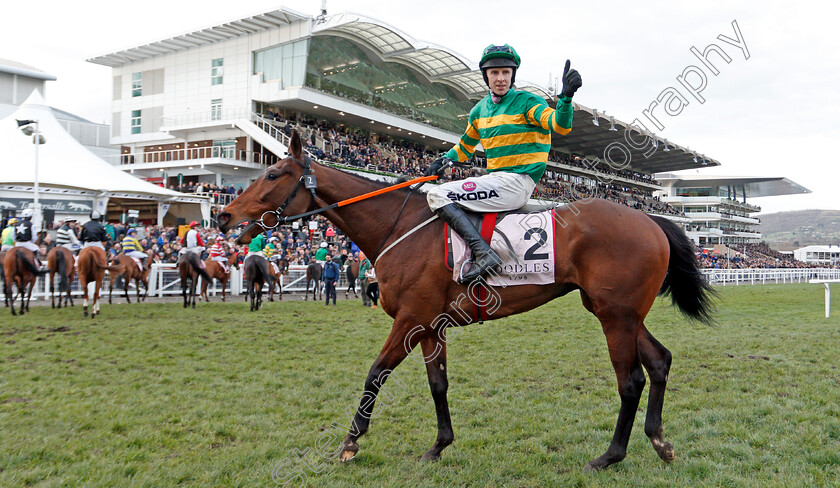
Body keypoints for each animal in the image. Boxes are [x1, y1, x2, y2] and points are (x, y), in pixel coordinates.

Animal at [218, 131, 716, 472]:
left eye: (272, 174)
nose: (223, 215)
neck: (399, 227)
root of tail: (650, 219)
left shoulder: (410, 320)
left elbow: (375, 374)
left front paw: (350, 442)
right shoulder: (430, 326)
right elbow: (438, 384)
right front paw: (439, 445)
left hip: (615, 316)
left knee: (630, 381)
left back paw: (610, 456)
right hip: (618, 312)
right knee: (660, 362)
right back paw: (659, 441)